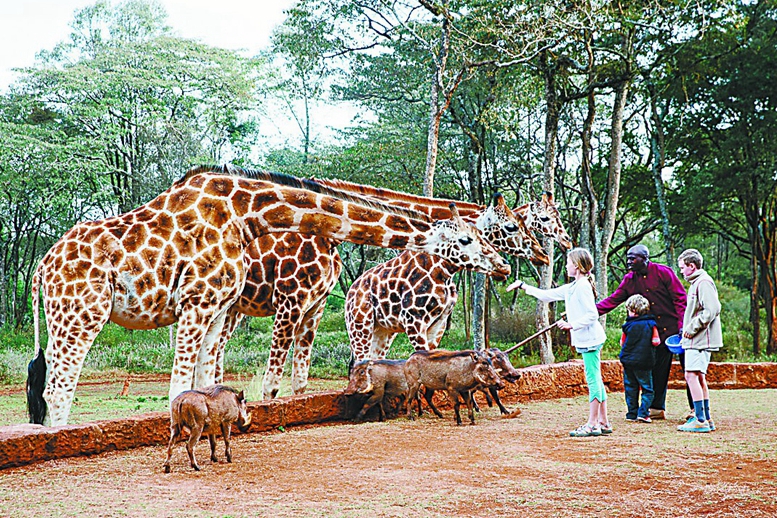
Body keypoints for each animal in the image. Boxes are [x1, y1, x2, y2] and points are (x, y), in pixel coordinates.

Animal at [25, 167, 510, 426]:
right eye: (465, 240)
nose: (503, 265)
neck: (246, 214)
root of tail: (39, 271)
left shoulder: (219, 309)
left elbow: (209, 383)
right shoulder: (200, 304)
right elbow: (185, 388)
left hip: (67, 317)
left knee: (49, 388)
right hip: (80, 315)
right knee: (58, 389)